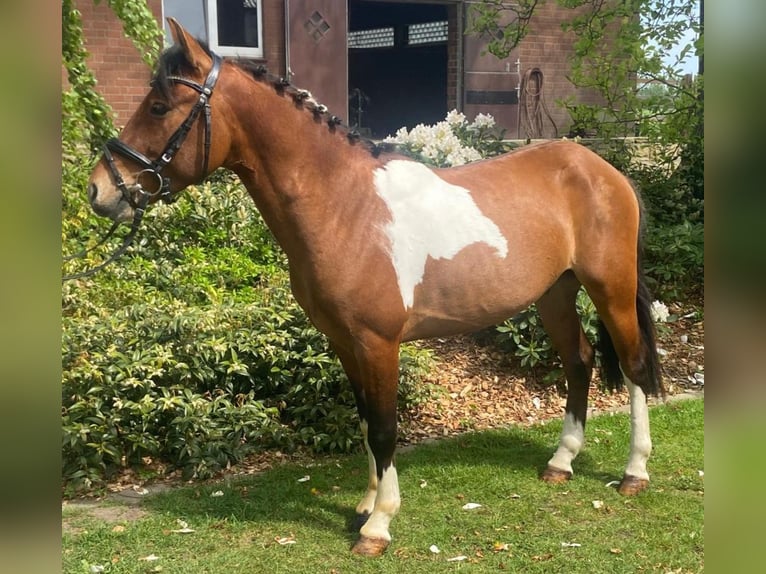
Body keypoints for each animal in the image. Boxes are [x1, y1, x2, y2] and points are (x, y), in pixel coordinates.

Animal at [85, 18, 662, 557]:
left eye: (159, 106)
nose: (99, 190)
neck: (345, 205)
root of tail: (603, 170)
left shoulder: (378, 342)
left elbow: (385, 426)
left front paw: (378, 526)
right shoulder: (344, 342)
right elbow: (365, 421)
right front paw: (364, 505)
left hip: (609, 288)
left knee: (632, 365)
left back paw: (634, 472)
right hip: (555, 294)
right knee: (580, 361)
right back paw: (561, 461)